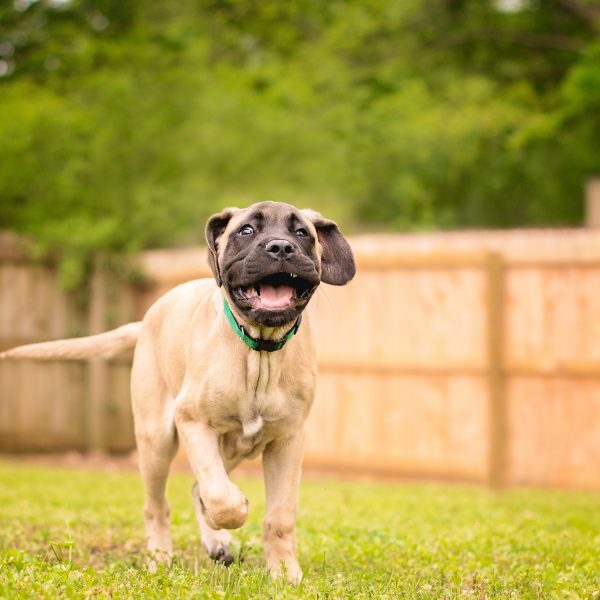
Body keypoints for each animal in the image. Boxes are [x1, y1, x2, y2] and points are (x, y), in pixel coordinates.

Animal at [0, 200, 356, 580]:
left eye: (302, 233)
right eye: (246, 230)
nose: (281, 248)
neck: (258, 353)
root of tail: (145, 321)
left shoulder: (287, 441)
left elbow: (279, 516)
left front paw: (285, 573)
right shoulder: (194, 423)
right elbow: (222, 498)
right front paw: (235, 514)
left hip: (234, 446)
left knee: (198, 487)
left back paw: (217, 543)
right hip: (157, 441)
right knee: (158, 505)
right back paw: (161, 557)